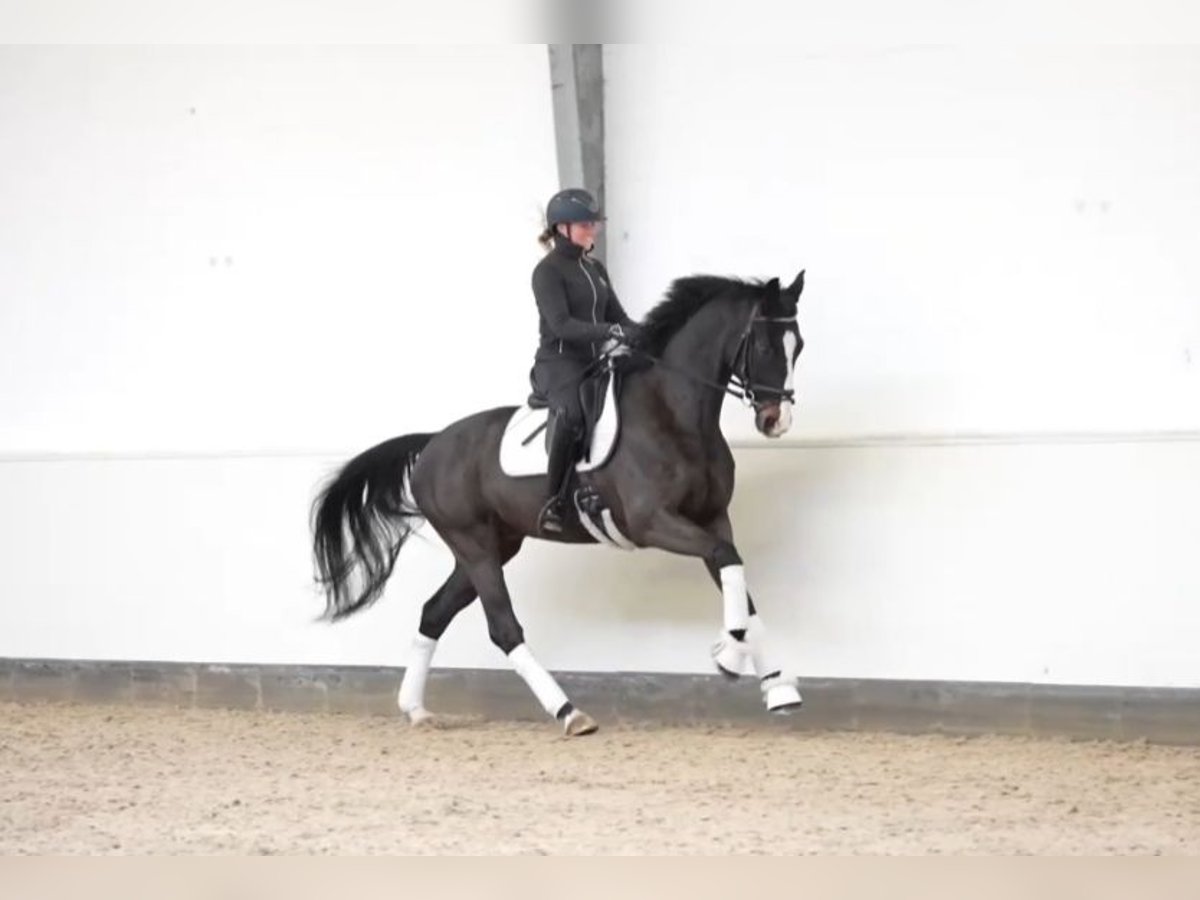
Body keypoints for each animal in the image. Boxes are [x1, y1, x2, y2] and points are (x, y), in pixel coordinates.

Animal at [312, 267, 806, 739]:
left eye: (797, 346)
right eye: (764, 345)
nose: (776, 421)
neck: (673, 413)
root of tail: (433, 443)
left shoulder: (713, 518)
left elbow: (736, 576)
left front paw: (776, 686)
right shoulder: (653, 522)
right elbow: (728, 560)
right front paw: (729, 656)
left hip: (491, 547)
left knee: (434, 612)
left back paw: (415, 709)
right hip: (474, 546)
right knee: (503, 628)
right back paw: (570, 713)